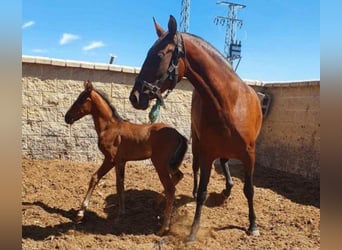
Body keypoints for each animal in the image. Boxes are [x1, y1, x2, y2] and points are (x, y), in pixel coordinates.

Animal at [64, 81, 187, 235]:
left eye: (81, 99)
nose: (67, 117)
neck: (110, 127)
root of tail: (179, 135)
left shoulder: (111, 159)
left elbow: (96, 178)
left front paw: (81, 213)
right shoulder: (121, 161)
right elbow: (120, 184)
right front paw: (121, 213)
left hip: (160, 164)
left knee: (171, 189)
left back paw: (162, 228)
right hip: (170, 165)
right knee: (178, 176)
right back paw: (157, 201)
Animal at [128, 14, 262, 241]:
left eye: (159, 55)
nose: (135, 97)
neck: (230, 103)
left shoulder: (249, 154)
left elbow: (249, 190)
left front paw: (252, 224)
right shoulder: (207, 153)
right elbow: (202, 192)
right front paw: (193, 231)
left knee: (224, 163)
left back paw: (227, 189)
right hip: (198, 143)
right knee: (196, 170)